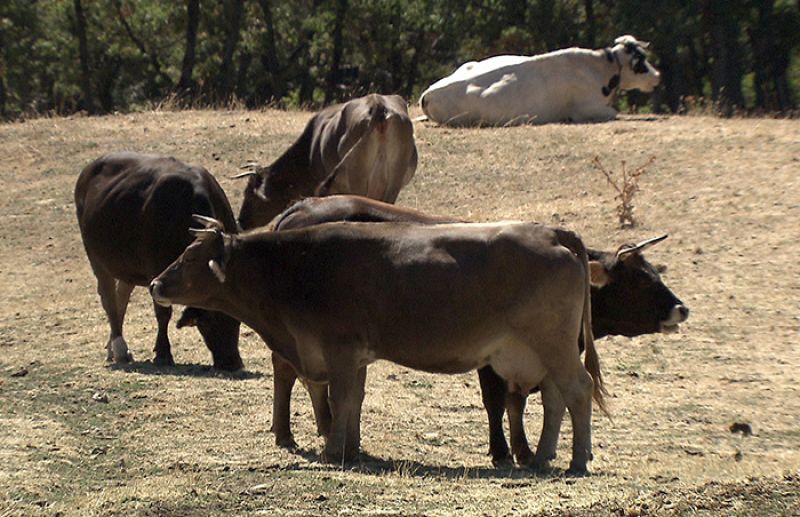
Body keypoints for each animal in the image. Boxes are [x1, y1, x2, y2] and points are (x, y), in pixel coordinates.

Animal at [76, 151, 244, 368]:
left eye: (237, 318)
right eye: (208, 320)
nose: (233, 363)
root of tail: (88, 171)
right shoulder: (156, 271)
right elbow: (163, 313)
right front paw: (163, 353)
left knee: (122, 294)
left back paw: (113, 348)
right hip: (96, 258)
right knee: (109, 298)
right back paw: (119, 348)